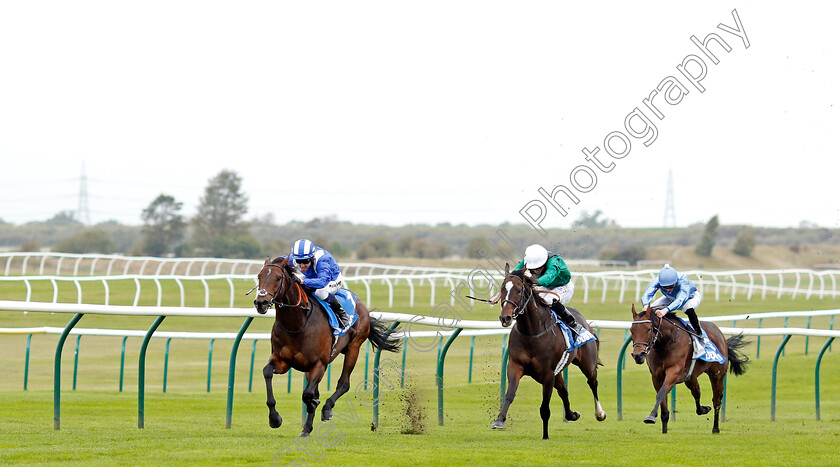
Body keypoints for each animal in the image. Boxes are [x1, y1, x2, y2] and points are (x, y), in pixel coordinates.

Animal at [251, 256, 402, 438]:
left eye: (278, 278)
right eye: (259, 276)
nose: (261, 302)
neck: (297, 324)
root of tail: (359, 302)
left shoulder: (320, 363)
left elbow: (308, 394)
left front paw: (314, 406)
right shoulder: (282, 361)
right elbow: (268, 373)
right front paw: (275, 418)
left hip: (353, 348)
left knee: (344, 383)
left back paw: (327, 409)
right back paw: (307, 426)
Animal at [492, 266, 604, 440]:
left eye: (519, 290)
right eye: (503, 289)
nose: (505, 318)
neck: (532, 331)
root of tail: (585, 322)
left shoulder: (548, 373)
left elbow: (545, 407)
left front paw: (545, 435)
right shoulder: (515, 366)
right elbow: (510, 394)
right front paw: (499, 420)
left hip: (587, 364)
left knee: (592, 382)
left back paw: (599, 413)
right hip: (559, 372)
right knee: (564, 390)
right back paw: (572, 414)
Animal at [628, 304, 752, 436]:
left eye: (648, 329)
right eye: (632, 330)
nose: (638, 355)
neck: (666, 341)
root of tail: (720, 334)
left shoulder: (674, 372)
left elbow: (661, 394)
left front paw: (651, 417)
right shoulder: (656, 376)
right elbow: (663, 402)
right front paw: (664, 431)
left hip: (717, 375)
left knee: (717, 400)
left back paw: (715, 428)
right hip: (690, 377)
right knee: (696, 392)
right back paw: (703, 409)